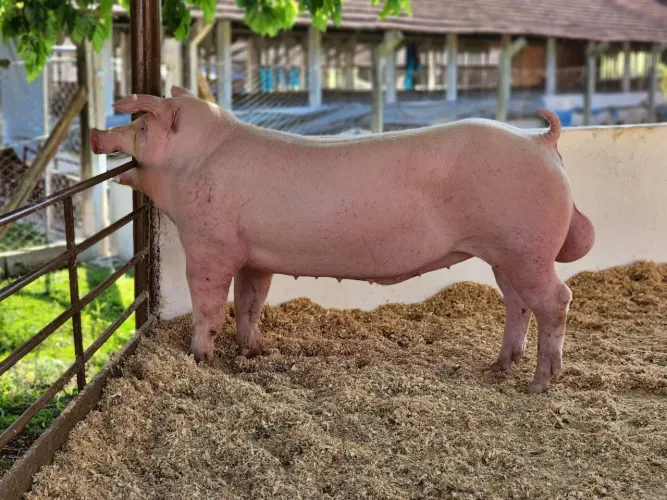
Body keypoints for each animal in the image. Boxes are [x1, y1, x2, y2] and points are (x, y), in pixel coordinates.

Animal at [91, 85, 594, 394]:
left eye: (142, 127)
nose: (96, 133)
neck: (192, 164)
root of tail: (542, 141)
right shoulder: (255, 257)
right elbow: (251, 303)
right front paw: (252, 351)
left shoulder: (209, 246)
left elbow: (210, 307)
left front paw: (199, 359)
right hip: (508, 255)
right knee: (518, 302)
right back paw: (499, 366)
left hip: (526, 249)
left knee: (558, 299)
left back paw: (539, 383)